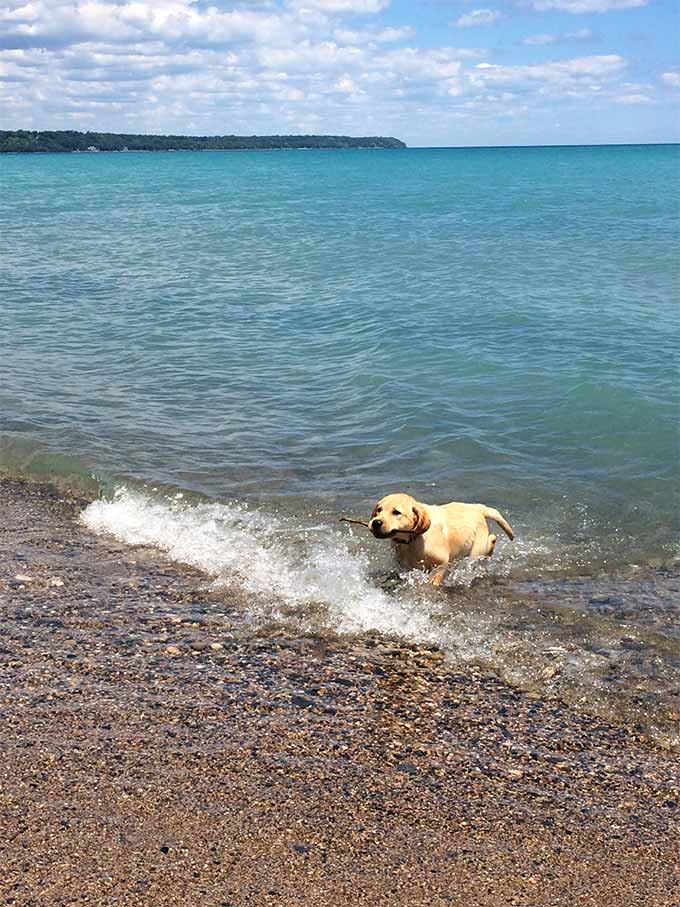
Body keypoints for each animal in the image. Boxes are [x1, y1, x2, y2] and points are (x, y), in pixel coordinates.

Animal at [370, 494, 512, 584]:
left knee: (492, 539)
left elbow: (435, 578)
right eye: (379, 510)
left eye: (396, 512)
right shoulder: (405, 565)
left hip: (477, 550)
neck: (412, 539)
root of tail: (477, 507)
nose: (376, 522)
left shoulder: (442, 562)